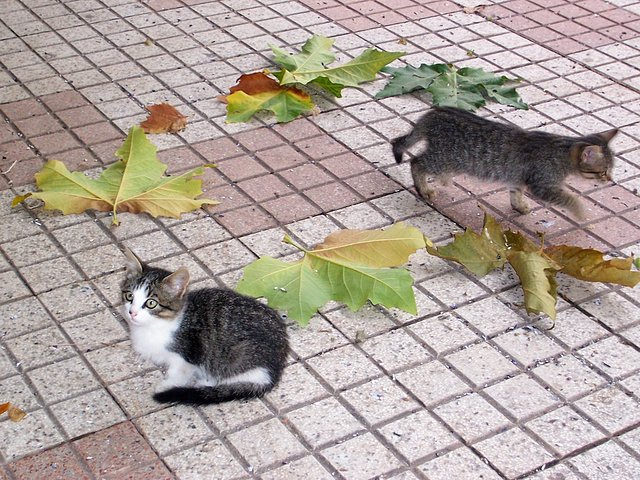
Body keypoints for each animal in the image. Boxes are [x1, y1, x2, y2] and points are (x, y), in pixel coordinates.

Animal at [120, 248, 290, 404]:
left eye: (151, 303)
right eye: (129, 296)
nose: (132, 312)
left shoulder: (186, 356)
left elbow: (179, 373)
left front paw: (167, 385)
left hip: (237, 358)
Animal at [392, 107, 616, 219]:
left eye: (610, 171)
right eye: (603, 172)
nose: (611, 181)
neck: (561, 151)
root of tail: (434, 113)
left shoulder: (517, 178)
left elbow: (516, 193)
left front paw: (519, 206)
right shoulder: (543, 185)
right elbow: (570, 199)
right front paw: (580, 213)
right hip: (445, 158)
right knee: (416, 161)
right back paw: (424, 189)